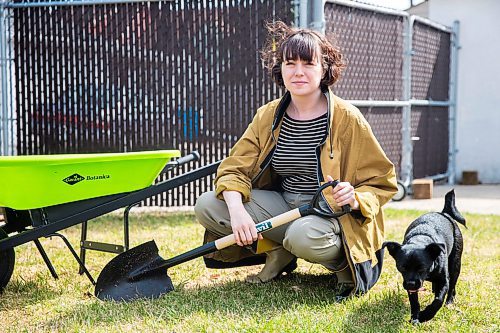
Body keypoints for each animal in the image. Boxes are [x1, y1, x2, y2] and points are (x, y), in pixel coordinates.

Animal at [384, 189, 466, 322]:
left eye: (421, 268)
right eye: (402, 268)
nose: (411, 284)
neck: (420, 238)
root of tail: (443, 213)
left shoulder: (444, 281)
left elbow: (438, 300)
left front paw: (426, 315)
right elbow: (414, 302)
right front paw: (415, 318)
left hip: (455, 265)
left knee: (452, 286)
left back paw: (449, 301)